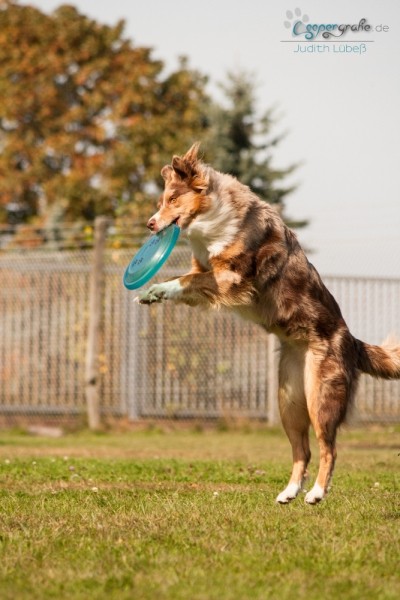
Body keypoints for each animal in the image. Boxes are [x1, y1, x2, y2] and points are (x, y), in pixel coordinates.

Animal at [138, 143, 400, 504]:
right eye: (162, 201)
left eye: (173, 199)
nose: (150, 224)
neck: (212, 220)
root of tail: (351, 340)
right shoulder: (206, 271)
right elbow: (187, 279)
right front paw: (152, 292)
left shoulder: (231, 278)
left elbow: (186, 280)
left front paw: (157, 289)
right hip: (289, 400)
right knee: (302, 450)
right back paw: (289, 492)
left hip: (321, 397)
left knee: (328, 448)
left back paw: (317, 493)